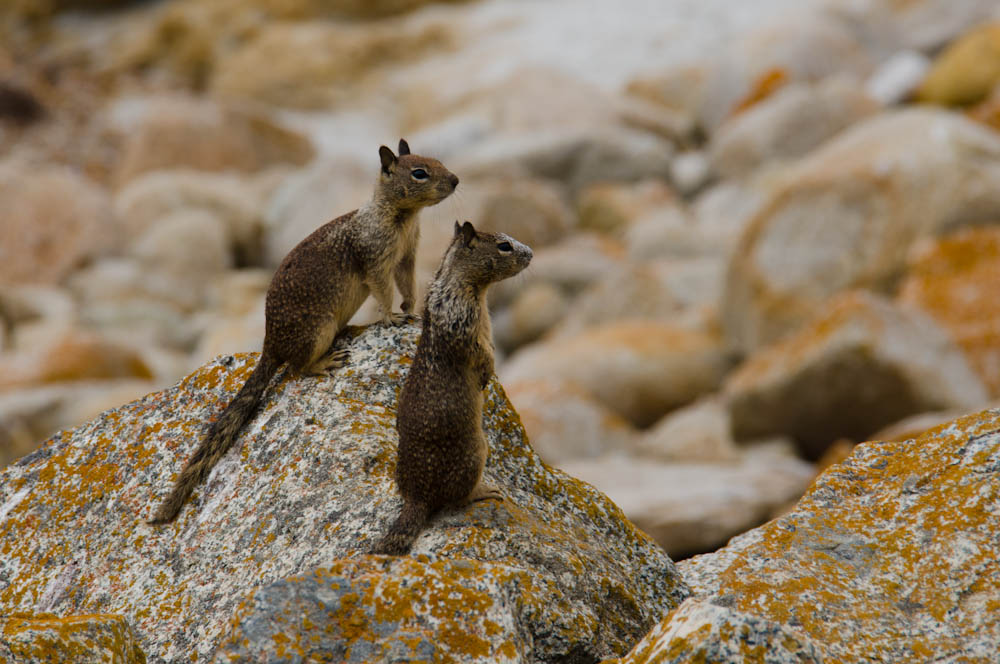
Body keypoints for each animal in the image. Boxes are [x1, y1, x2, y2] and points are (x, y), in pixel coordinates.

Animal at [148, 140, 460, 524]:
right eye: (419, 173)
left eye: (438, 161)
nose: (456, 180)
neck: (400, 217)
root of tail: (270, 343)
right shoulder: (375, 258)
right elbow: (382, 289)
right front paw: (391, 317)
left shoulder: (407, 254)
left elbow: (407, 283)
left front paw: (410, 308)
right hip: (316, 332)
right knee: (297, 368)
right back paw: (324, 362)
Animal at [372, 220, 532, 552]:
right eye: (504, 246)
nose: (532, 254)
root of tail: (417, 498)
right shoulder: (461, 318)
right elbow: (481, 351)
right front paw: (487, 374)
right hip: (477, 451)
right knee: (457, 498)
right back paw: (486, 491)